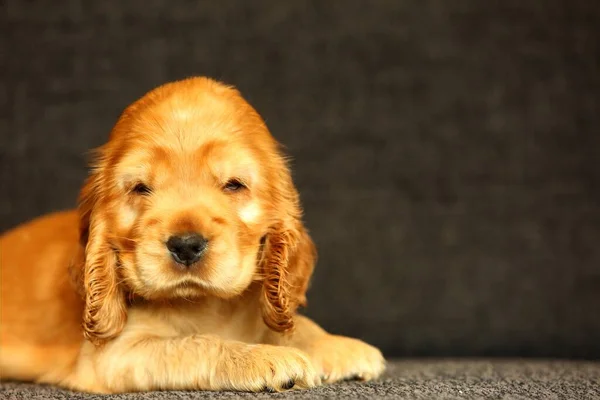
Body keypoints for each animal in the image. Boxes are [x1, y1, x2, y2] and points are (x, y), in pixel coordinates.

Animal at [0, 78, 384, 394]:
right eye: (141, 188)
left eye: (233, 185)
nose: (185, 246)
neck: (205, 304)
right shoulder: (116, 355)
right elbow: (196, 344)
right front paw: (265, 358)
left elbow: (292, 324)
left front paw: (337, 345)